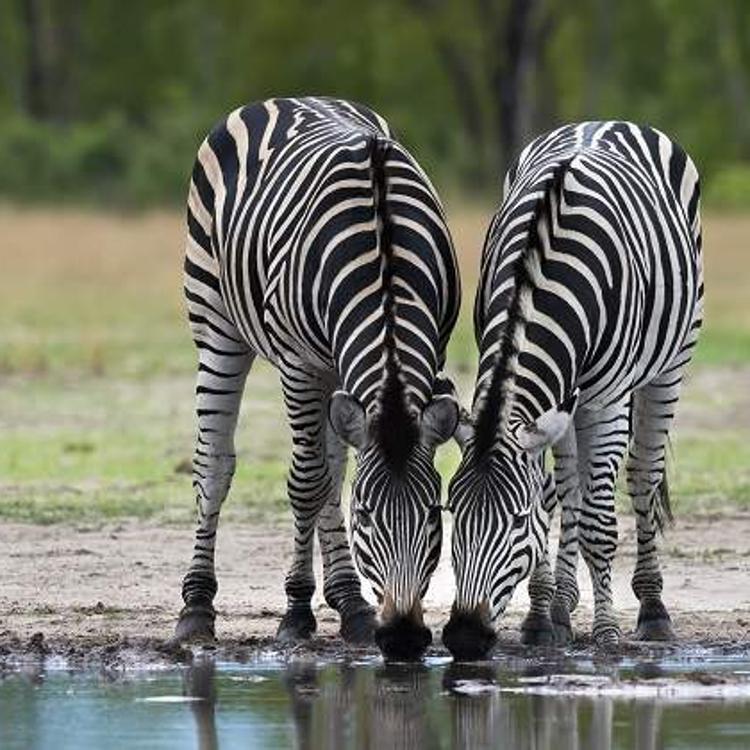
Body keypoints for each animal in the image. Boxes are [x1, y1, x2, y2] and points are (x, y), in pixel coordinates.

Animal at [173, 97, 462, 660]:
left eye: (433, 513)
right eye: (365, 516)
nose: (404, 638)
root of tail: (289, 97)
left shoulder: (430, 349)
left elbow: (330, 477)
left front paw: (340, 605)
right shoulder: (301, 366)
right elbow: (306, 482)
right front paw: (296, 612)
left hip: (335, 369)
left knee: (334, 465)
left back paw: (350, 601)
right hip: (217, 325)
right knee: (215, 466)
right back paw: (196, 608)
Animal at [440, 122, 704, 656]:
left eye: (515, 522)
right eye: (452, 511)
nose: (465, 637)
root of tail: (608, 121)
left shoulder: (604, 402)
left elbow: (599, 524)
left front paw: (606, 633)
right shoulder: (543, 407)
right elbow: (554, 499)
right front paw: (542, 619)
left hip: (670, 364)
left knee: (642, 475)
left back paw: (652, 609)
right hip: (566, 402)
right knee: (570, 487)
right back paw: (562, 605)